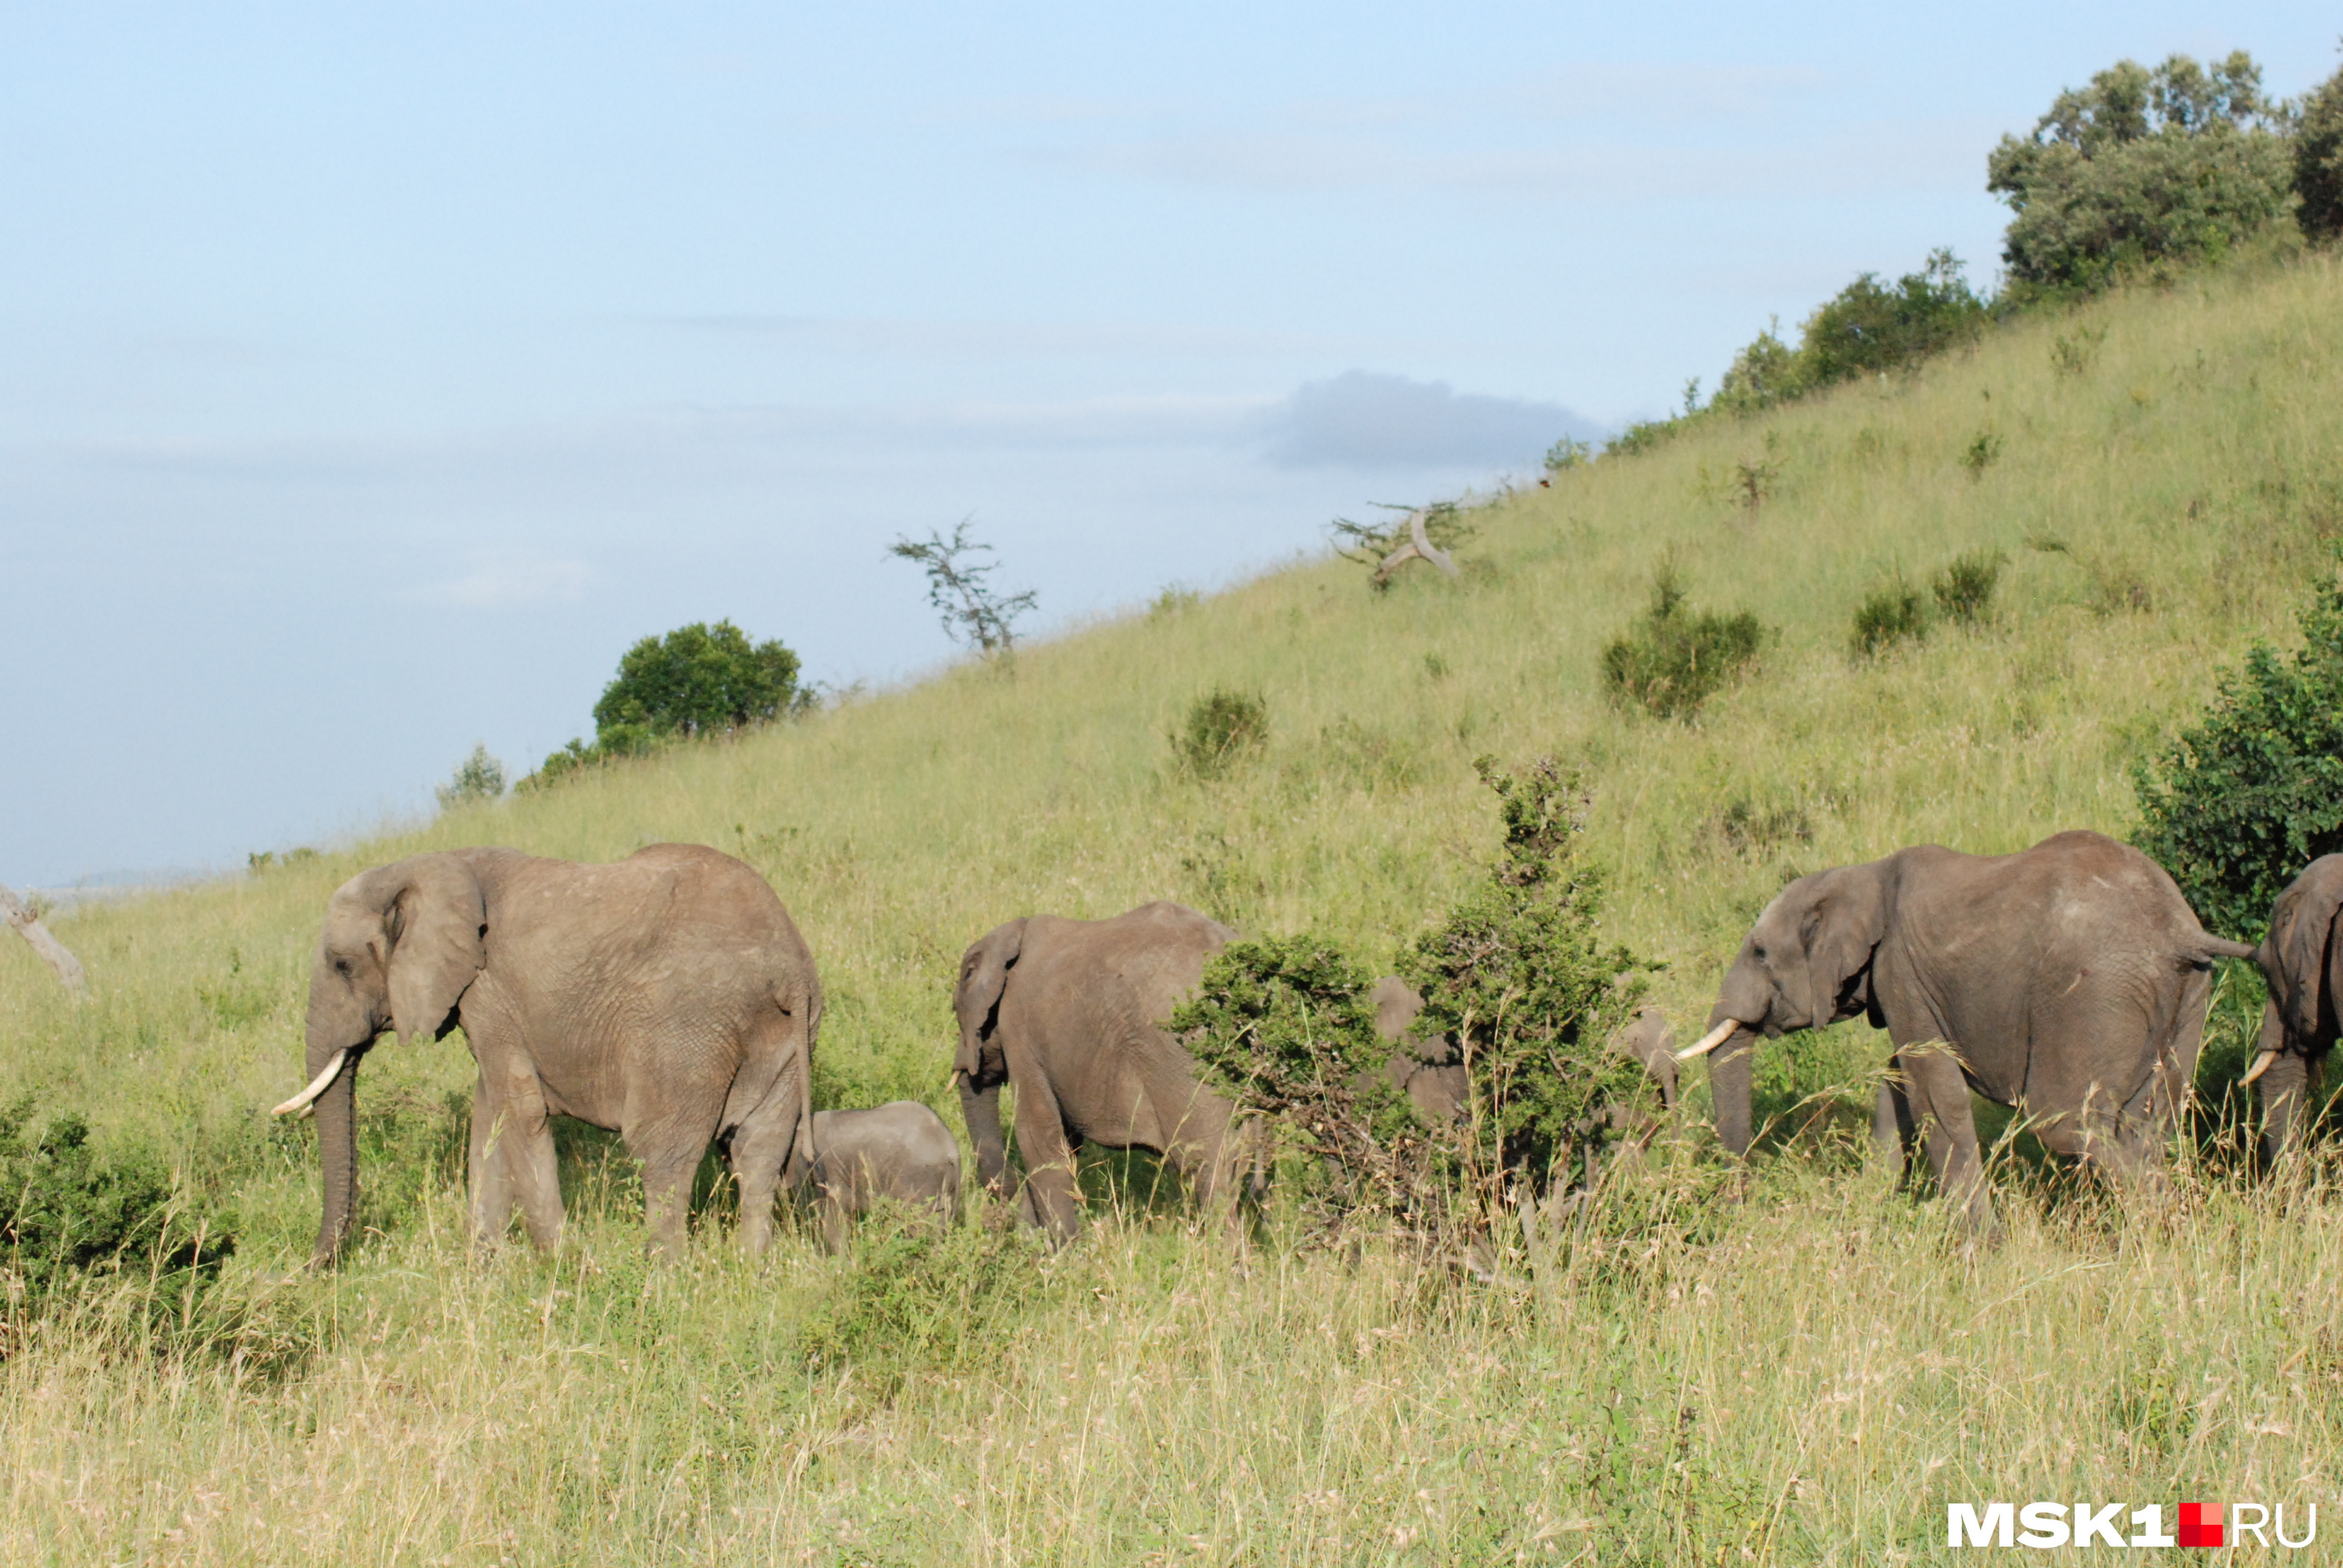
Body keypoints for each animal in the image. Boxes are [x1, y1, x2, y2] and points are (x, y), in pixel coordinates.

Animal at [273, 843, 820, 1256]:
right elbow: (489, 1114)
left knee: (663, 1157)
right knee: (758, 1153)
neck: (427, 864)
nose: (313, 1268)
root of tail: (788, 968)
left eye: (342, 965)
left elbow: (520, 1109)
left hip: (686, 1033)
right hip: (788, 1037)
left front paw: (564, 1264)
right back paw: (752, 1269)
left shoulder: (488, 991)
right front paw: (486, 1267)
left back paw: (661, 1280)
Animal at [1678, 829, 2259, 1237]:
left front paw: (1982, 1247)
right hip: (2187, 996)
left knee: (2067, 1122)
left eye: (1759, 953)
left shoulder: (1901, 972)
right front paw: (1871, 1210)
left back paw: (2160, 1232)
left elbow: (1937, 1093)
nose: (1736, 1208)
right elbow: (1900, 1082)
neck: (1863, 876)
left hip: (2095, 993)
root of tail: (2179, 929)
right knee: (2151, 1121)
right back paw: (2167, 1237)